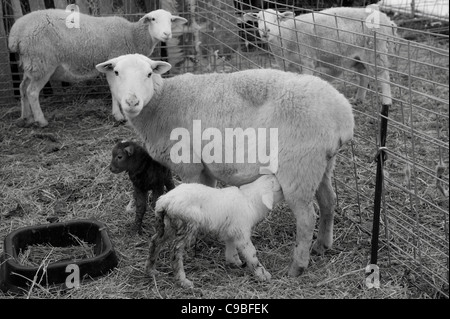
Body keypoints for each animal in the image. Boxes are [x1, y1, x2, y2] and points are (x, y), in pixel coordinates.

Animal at [8, 7, 188, 127]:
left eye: (171, 20)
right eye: (153, 19)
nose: (167, 34)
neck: (132, 35)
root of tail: (15, 33)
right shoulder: (114, 63)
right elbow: (114, 90)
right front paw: (118, 115)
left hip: (30, 64)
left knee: (22, 87)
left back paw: (26, 117)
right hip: (42, 62)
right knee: (32, 91)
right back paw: (41, 120)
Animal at [145, 174, 284, 288]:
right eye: (280, 188)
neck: (250, 200)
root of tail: (164, 201)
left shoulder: (232, 231)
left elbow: (231, 247)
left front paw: (234, 262)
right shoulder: (242, 232)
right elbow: (251, 253)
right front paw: (263, 274)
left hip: (168, 225)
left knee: (155, 242)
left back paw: (151, 270)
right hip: (187, 224)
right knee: (175, 251)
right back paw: (183, 281)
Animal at [243, 5, 398, 106]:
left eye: (277, 19)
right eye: (258, 18)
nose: (265, 30)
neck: (288, 35)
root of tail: (386, 18)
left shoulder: (307, 61)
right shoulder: (288, 66)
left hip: (376, 51)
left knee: (384, 78)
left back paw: (386, 103)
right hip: (359, 56)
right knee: (363, 75)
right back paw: (358, 99)